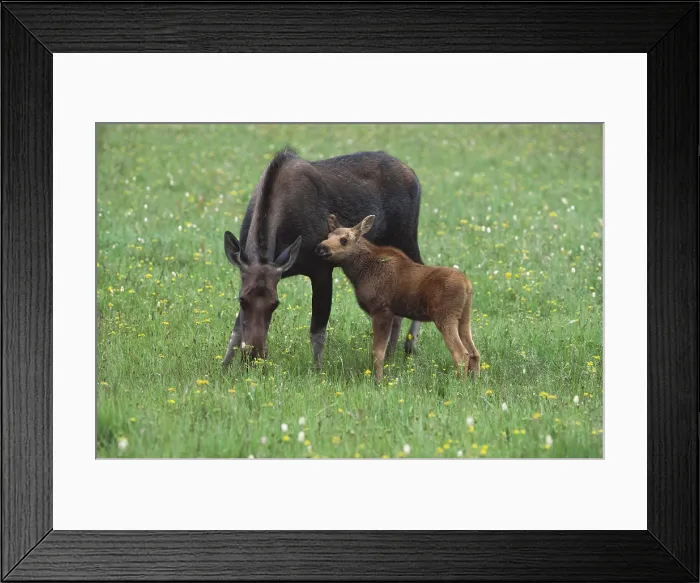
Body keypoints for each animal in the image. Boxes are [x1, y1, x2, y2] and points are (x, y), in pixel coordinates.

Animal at [315, 214, 480, 381]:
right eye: (328, 236)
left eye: (344, 240)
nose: (321, 247)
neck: (359, 272)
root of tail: (467, 285)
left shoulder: (382, 310)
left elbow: (378, 353)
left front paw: (378, 381)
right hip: (464, 317)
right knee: (474, 352)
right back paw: (475, 381)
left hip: (445, 316)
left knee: (461, 354)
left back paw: (460, 383)